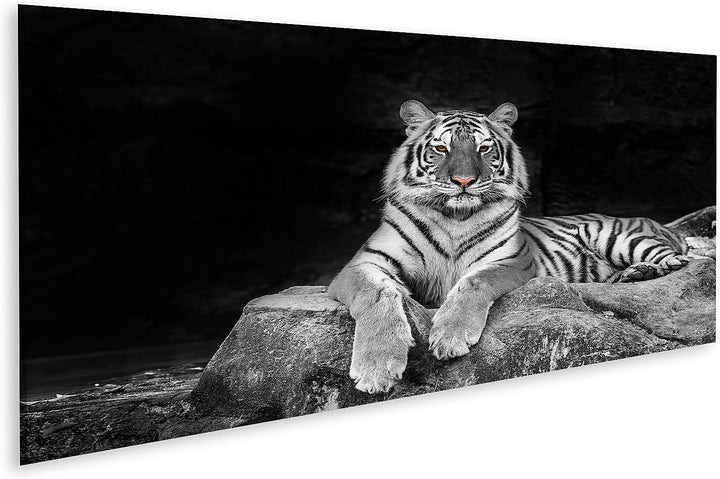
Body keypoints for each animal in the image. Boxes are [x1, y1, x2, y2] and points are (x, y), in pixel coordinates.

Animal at [327, 100, 689, 394]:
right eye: (442, 149)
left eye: (484, 149)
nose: (464, 181)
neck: (453, 217)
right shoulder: (364, 263)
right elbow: (376, 294)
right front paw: (376, 368)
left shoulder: (511, 260)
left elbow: (474, 282)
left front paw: (450, 336)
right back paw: (635, 275)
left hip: (618, 236)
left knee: (680, 257)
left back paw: (654, 268)